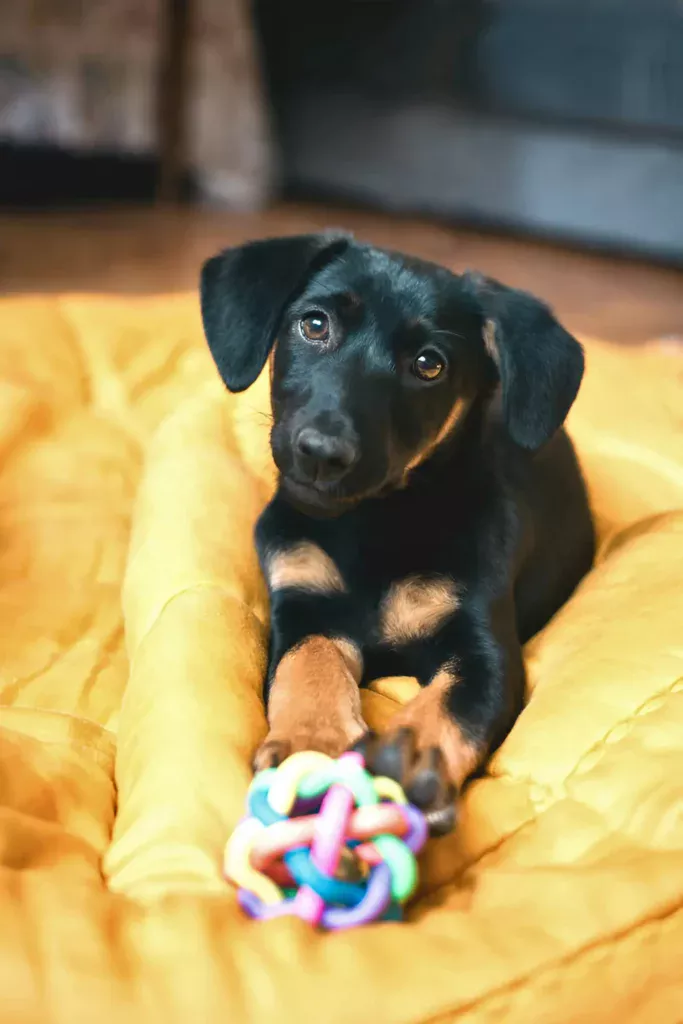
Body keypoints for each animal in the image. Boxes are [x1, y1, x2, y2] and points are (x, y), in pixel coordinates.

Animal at [200, 232, 593, 831]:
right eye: (314, 325)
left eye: (429, 364)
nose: (322, 453)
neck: (370, 523)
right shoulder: (303, 602)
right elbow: (306, 665)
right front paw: (311, 745)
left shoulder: (484, 644)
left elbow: (449, 704)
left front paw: (407, 762)